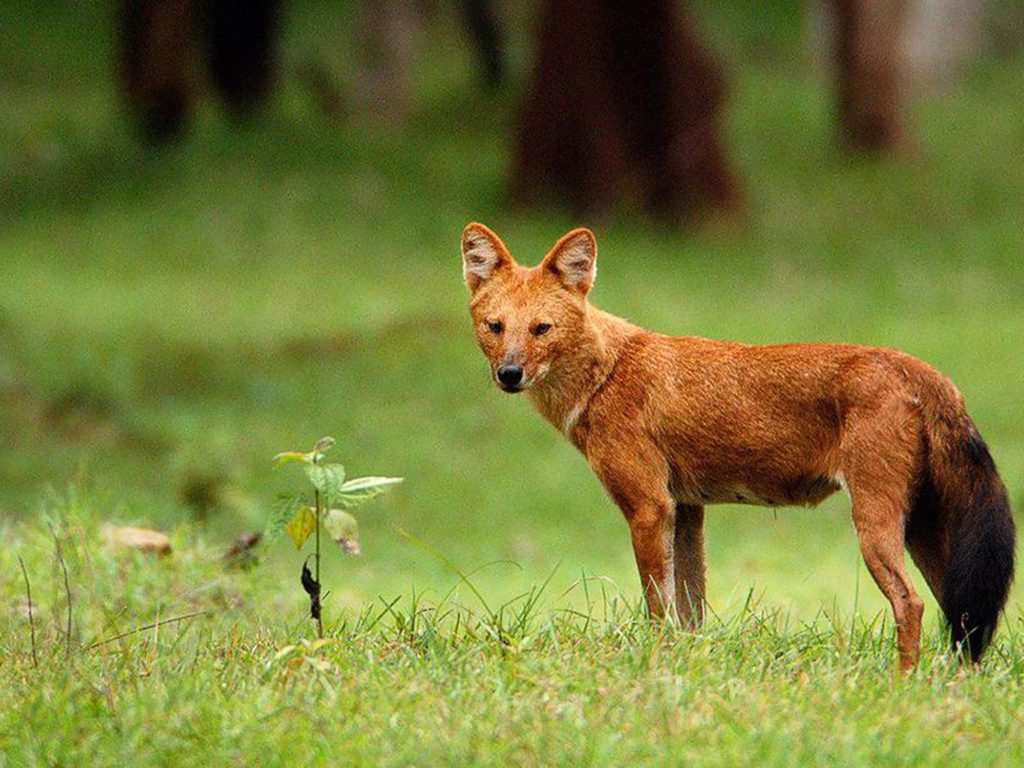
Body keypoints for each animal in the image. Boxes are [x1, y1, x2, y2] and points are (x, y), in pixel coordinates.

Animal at [462, 224, 1015, 671]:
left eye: (542, 329)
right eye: (495, 327)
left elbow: (658, 608)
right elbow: (690, 612)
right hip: (923, 529)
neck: (606, 373)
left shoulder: (649, 506)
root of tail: (918, 367)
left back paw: (903, 685)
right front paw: (685, 669)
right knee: (963, 612)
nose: (509, 374)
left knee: (912, 604)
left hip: (875, 523)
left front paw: (655, 666)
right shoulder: (686, 509)